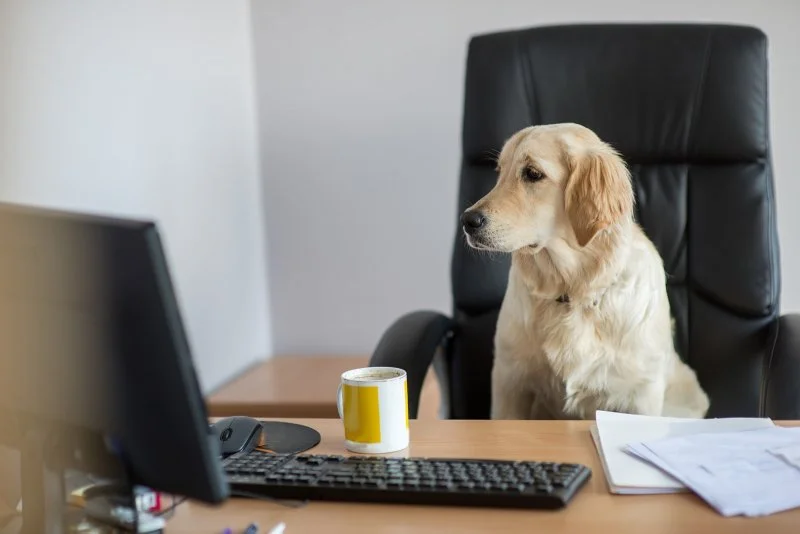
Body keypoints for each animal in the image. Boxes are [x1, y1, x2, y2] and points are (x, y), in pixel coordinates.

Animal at [462, 123, 712, 420]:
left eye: (532, 173)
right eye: (500, 172)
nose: (467, 221)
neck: (573, 292)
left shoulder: (641, 393)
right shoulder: (510, 382)